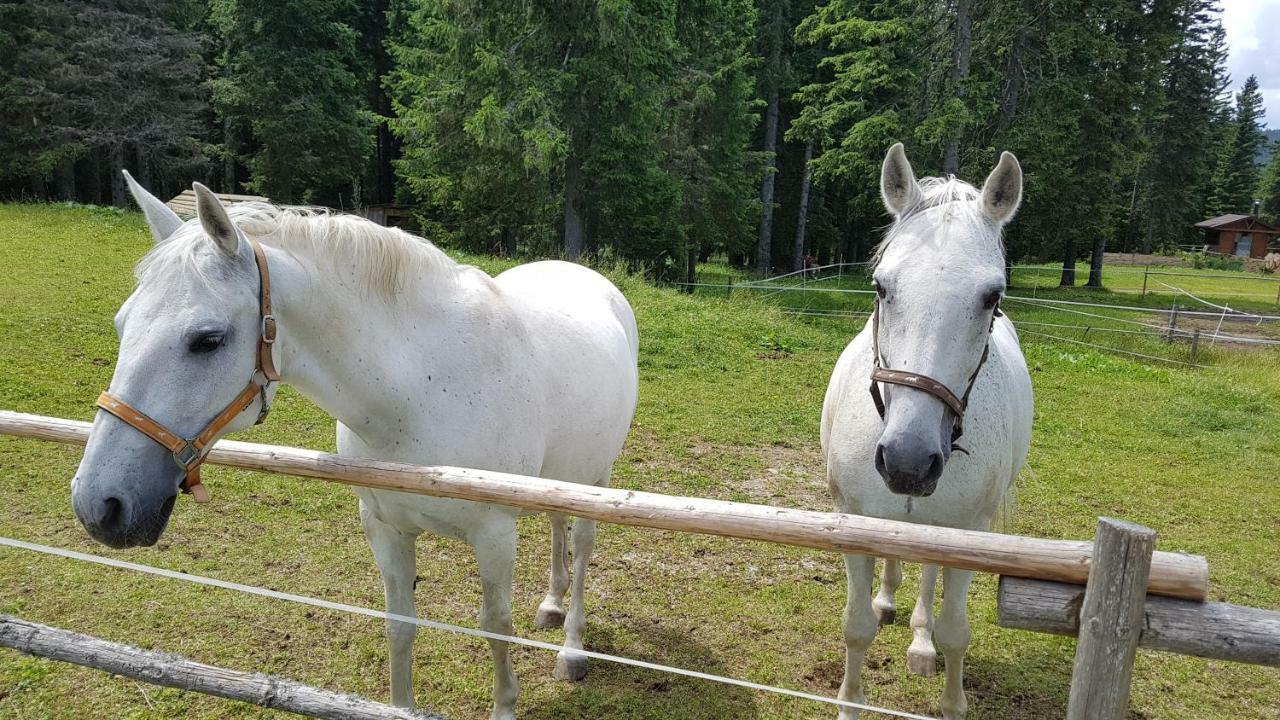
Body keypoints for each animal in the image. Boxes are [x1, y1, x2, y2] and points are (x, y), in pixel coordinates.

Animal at [70, 175, 640, 717]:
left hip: (597, 478)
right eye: (122, 324)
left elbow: (495, 627)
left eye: (207, 339)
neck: (420, 390)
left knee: (582, 548)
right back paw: (551, 605)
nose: (100, 504)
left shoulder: (494, 534)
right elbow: (399, 626)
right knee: (557, 524)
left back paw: (572, 648)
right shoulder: (385, 528)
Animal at [824, 142, 1034, 712]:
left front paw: (953, 703)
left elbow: (956, 630)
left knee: (928, 577)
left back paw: (920, 641)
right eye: (881, 286)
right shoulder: (854, 521)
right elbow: (855, 626)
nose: (908, 462)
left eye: (992, 296)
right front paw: (849, 703)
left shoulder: (969, 532)